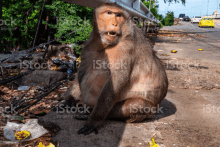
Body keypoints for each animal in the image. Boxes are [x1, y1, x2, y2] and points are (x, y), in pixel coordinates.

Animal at [58, 2, 168, 135]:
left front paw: (94, 120)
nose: (115, 24)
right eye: (109, 13)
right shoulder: (89, 46)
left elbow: (114, 83)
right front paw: (69, 99)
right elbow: (81, 72)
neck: (105, 45)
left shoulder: (125, 48)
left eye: (118, 15)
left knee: (137, 104)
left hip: (150, 110)